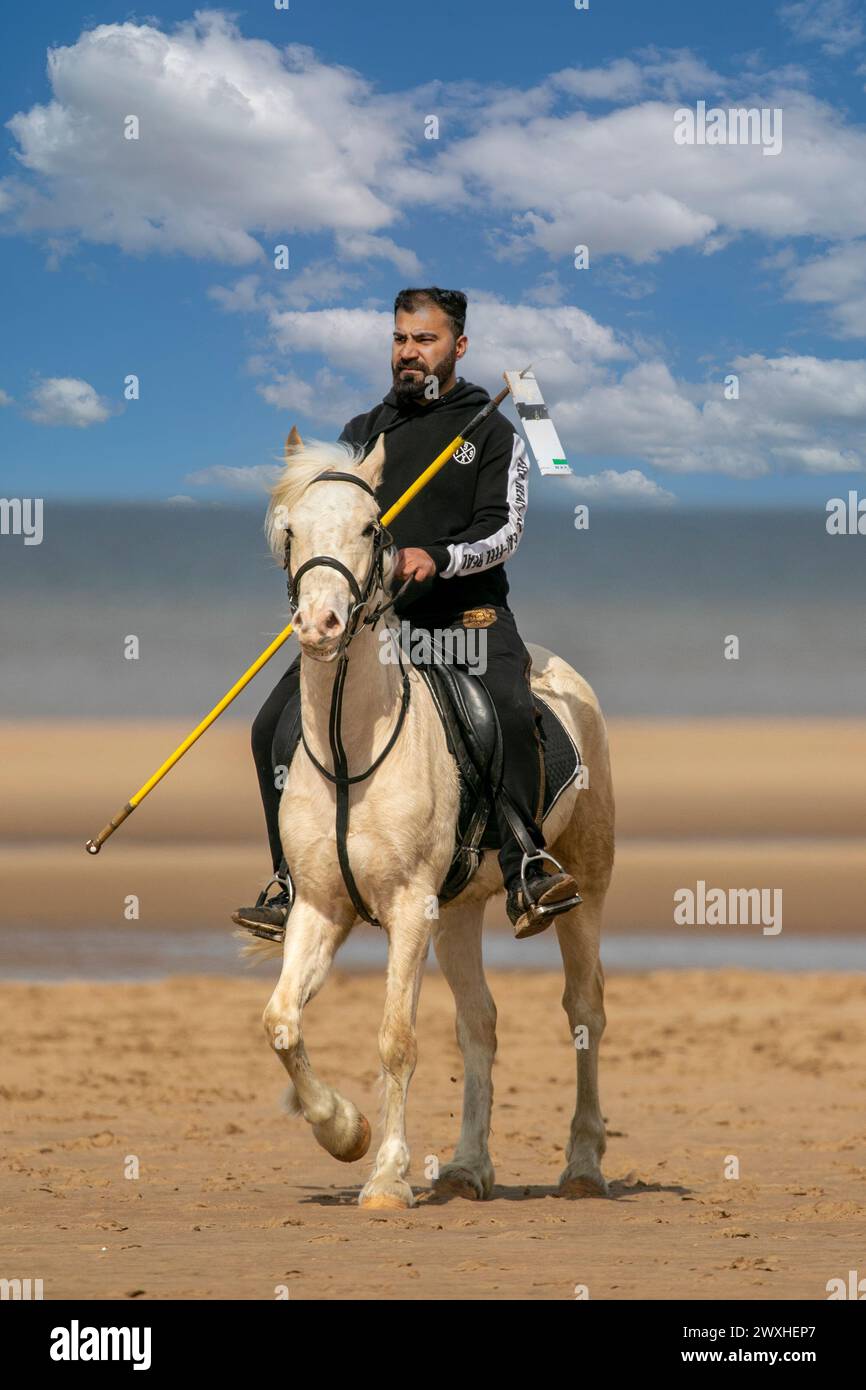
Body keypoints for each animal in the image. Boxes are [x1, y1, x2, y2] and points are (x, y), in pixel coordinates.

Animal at [257, 433, 617, 1206]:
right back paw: (466, 1167)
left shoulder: (407, 907)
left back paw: (582, 1166)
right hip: (457, 913)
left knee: (584, 1013)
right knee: (480, 1023)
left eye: (372, 529)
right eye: (291, 532)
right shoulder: (321, 908)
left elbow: (396, 1038)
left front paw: (386, 1177)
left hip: (585, 885)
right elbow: (281, 1024)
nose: (320, 626)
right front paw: (344, 1132)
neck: (351, 746)